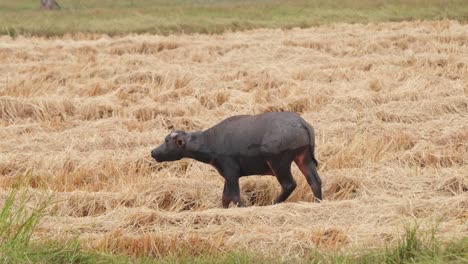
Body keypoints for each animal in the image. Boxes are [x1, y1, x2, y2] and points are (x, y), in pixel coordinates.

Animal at [150, 111, 322, 208]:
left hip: (279, 163)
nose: (153, 152)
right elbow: (225, 198)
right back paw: (318, 202)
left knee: (289, 184)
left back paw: (274, 203)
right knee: (315, 181)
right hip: (304, 159)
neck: (211, 141)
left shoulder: (231, 171)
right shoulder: (228, 175)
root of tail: (301, 123)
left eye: (167, 141)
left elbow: (234, 196)